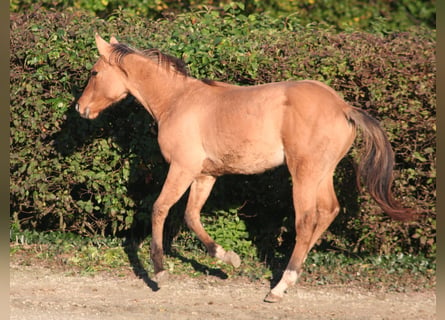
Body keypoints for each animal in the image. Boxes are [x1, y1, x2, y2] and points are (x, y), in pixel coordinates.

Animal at [74, 35, 412, 302]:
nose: (80, 108)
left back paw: (280, 286)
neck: (178, 101)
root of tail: (343, 107)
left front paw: (159, 271)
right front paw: (229, 259)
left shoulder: (182, 169)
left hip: (303, 173)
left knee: (306, 220)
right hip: (322, 173)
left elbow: (160, 208)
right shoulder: (205, 175)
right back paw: (291, 275)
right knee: (329, 211)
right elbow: (191, 215)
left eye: (94, 72)